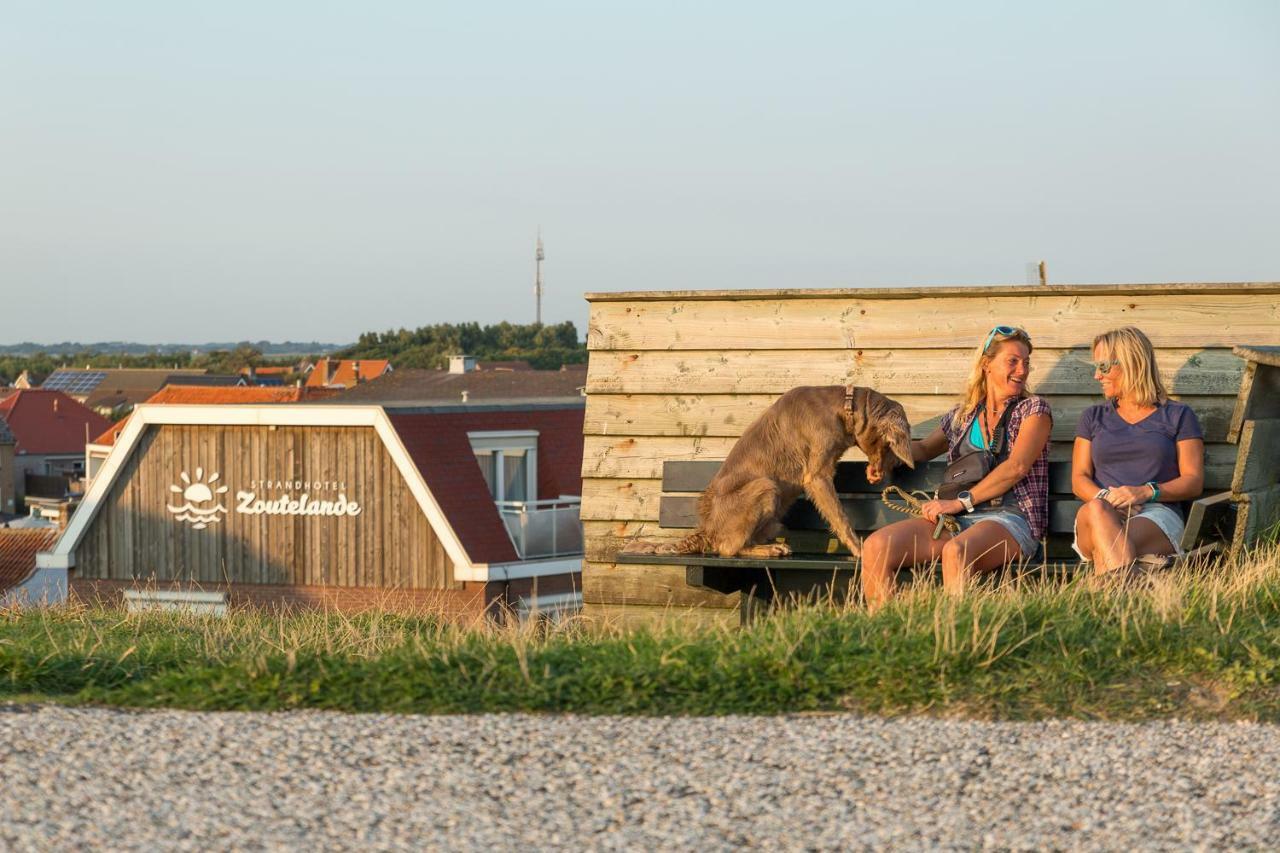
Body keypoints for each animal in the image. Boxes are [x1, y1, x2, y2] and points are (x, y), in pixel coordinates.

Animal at [627, 384, 911, 558]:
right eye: (890, 446)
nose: (892, 469)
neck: (844, 408)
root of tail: (706, 530)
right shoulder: (817, 476)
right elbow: (841, 517)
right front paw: (860, 549)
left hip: (774, 520)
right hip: (765, 486)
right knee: (728, 548)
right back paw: (766, 551)